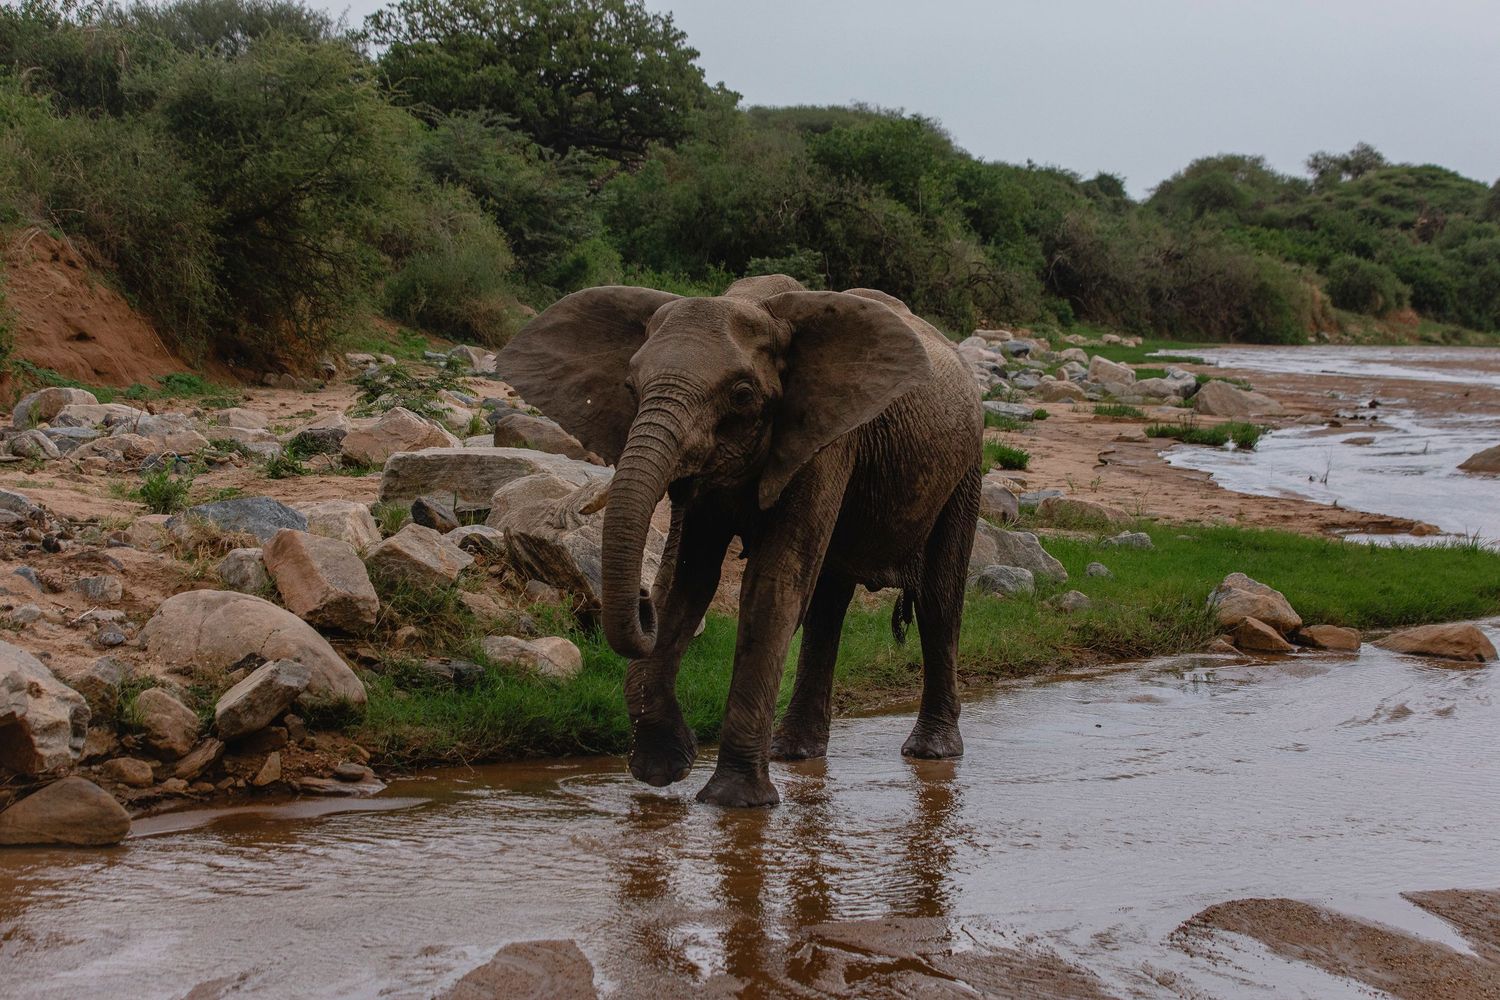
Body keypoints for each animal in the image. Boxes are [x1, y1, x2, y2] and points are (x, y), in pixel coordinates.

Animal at [495, 274, 982, 807]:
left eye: (743, 395)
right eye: (629, 387)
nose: (639, 606)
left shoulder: (825, 443)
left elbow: (771, 587)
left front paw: (733, 801)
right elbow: (685, 582)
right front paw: (663, 769)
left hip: (966, 467)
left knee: (938, 597)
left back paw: (931, 752)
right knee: (827, 604)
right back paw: (794, 753)